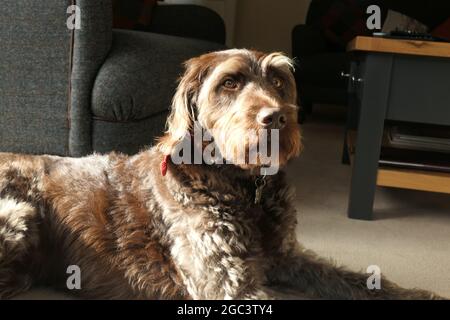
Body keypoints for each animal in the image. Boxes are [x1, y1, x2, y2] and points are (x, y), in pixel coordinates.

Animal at [0, 50, 442, 300]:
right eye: (229, 82)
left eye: (278, 80)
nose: (276, 118)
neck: (242, 185)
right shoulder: (227, 281)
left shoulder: (285, 258)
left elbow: (351, 279)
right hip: (17, 216)